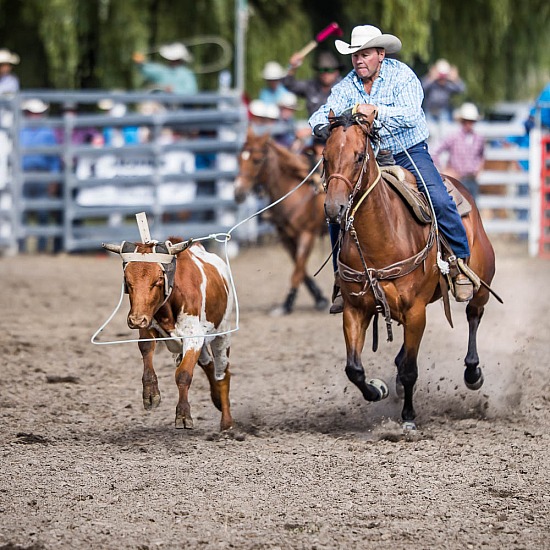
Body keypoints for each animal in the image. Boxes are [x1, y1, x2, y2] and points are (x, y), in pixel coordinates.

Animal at [104, 239, 235, 434]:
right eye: (127, 279)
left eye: (158, 279)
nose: (136, 320)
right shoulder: (148, 325)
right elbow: (146, 350)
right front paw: (150, 394)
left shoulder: (193, 338)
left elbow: (183, 374)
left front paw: (183, 415)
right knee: (208, 364)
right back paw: (217, 400)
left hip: (222, 335)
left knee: (222, 373)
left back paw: (226, 422)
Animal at [235, 126, 330, 314]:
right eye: (239, 158)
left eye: (257, 160)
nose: (238, 192)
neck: (295, 190)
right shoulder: (285, 237)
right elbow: (301, 269)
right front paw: (319, 297)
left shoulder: (308, 234)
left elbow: (298, 270)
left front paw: (287, 304)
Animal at [324, 110, 500, 434]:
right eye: (325, 156)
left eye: (358, 156)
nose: (334, 207)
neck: (381, 236)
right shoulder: (355, 309)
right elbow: (354, 368)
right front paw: (377, 389)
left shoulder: (416, 311)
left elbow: (410, 370)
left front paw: (408, 418)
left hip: (482, 283)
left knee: (473, 314)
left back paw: (473, 373)